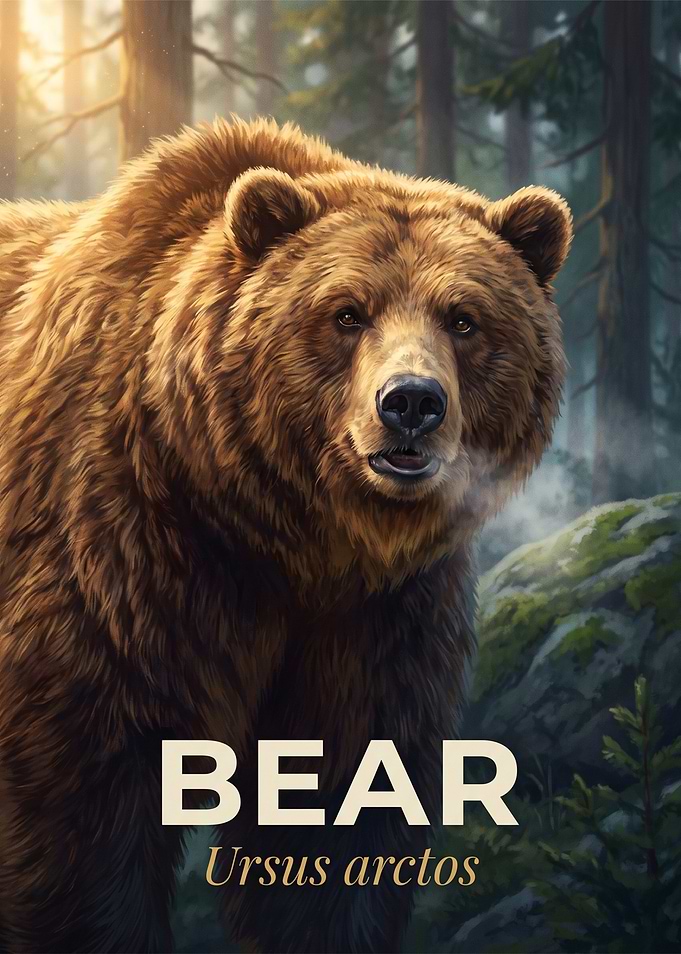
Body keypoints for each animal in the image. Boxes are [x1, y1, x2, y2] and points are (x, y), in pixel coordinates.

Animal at [0, 118, 571, 953]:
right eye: (347, 311)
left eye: (463, 318)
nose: (410, 404)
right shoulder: (114, 558)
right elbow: (82, 812)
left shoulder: (375, 621)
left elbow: (340, 814)